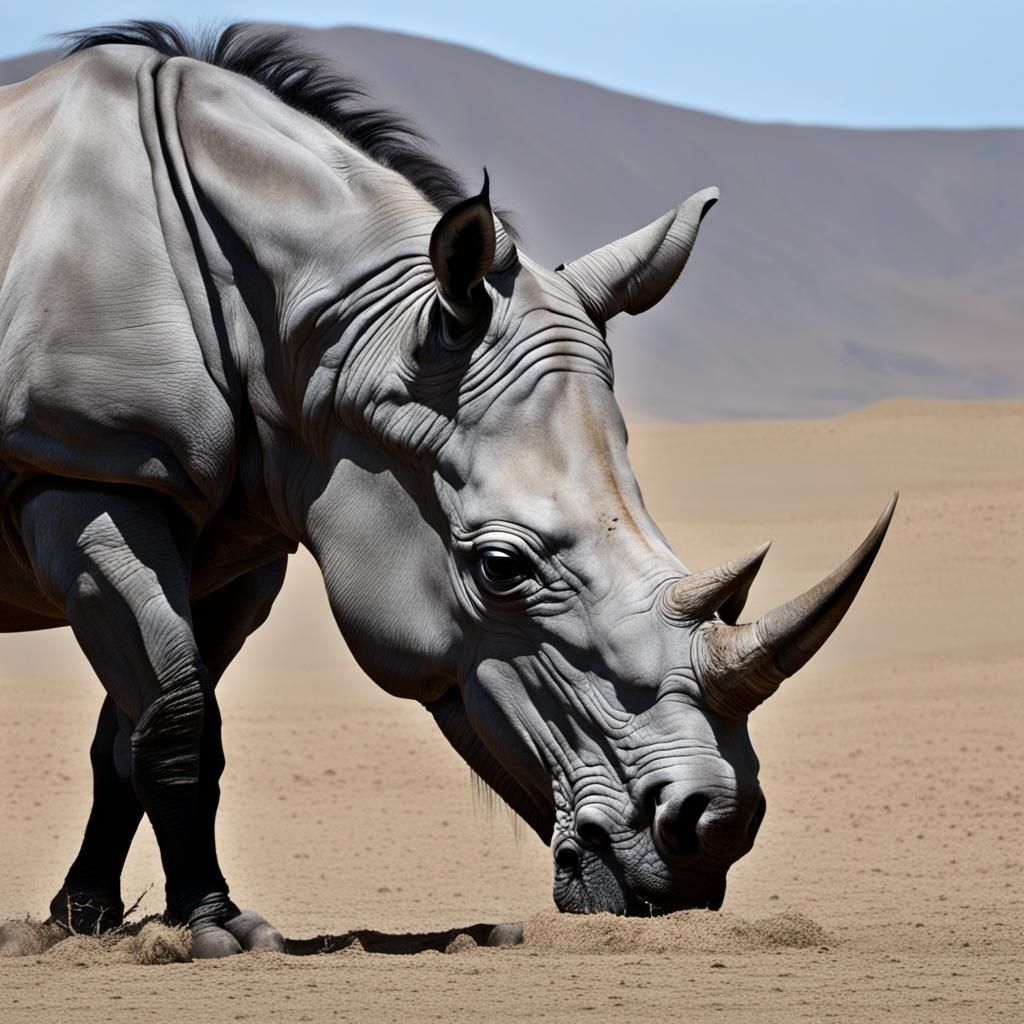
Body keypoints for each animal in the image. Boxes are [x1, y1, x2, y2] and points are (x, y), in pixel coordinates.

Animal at [0, 23, 895, 957]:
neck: (327, 337)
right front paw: (219, 932)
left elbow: (134, 728)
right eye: (501, 567)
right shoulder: (87, 465)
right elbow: (178, 714)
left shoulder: (237, 534)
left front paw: (82, 923)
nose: (713, 830)